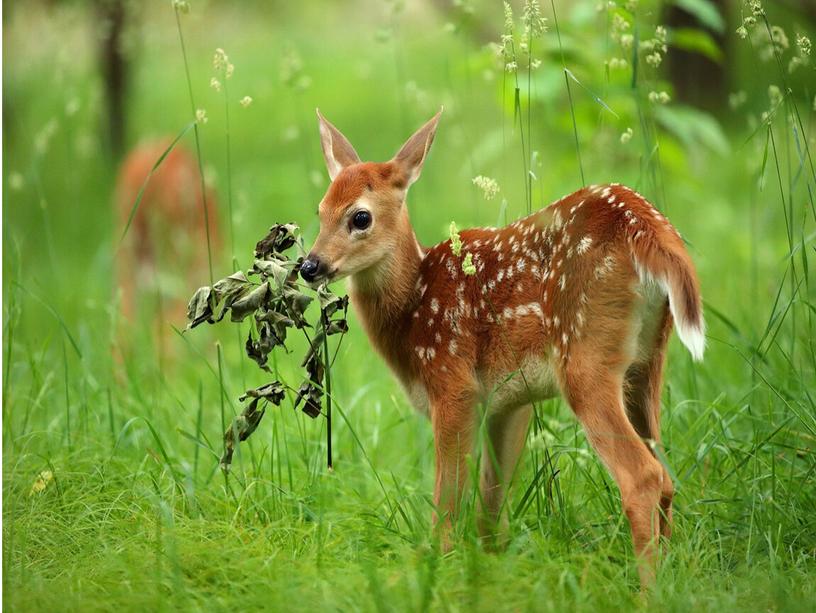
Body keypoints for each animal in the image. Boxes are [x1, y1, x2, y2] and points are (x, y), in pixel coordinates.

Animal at [300, 109, 700, 584]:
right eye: (320, 211)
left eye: (360, 218)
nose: (309, 265)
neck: (413, 308)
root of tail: (647, 227)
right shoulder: (508, 400)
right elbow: (491, 505)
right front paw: (490, 572)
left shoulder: (454, 383)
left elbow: (449, 503)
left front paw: (437, 570)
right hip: (648, 360)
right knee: (667, 474)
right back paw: (673, 576)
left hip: (584, 356)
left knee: (642, 477)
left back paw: (646, 590)